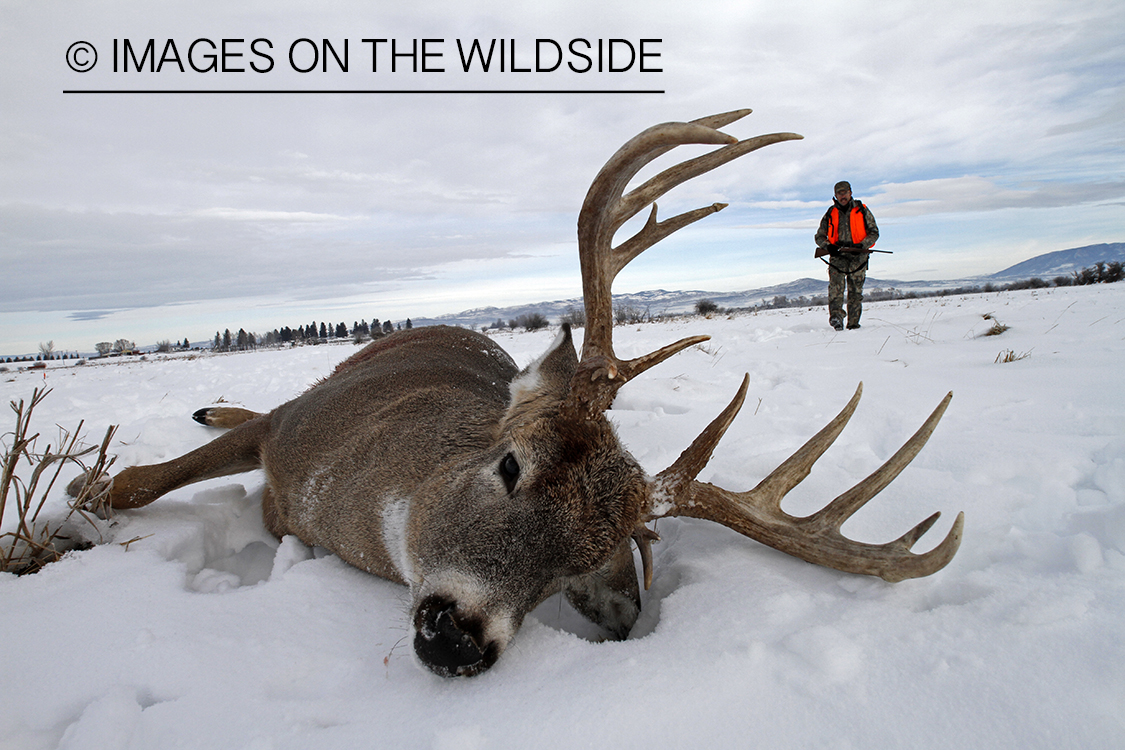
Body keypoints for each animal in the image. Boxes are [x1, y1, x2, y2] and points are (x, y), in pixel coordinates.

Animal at [73, 109, 963, 677]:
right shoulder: (293, 425)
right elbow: (137, 481)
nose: (460, 638)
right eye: (510, 465)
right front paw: (80, 500)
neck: (337, 511)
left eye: (581, 564)